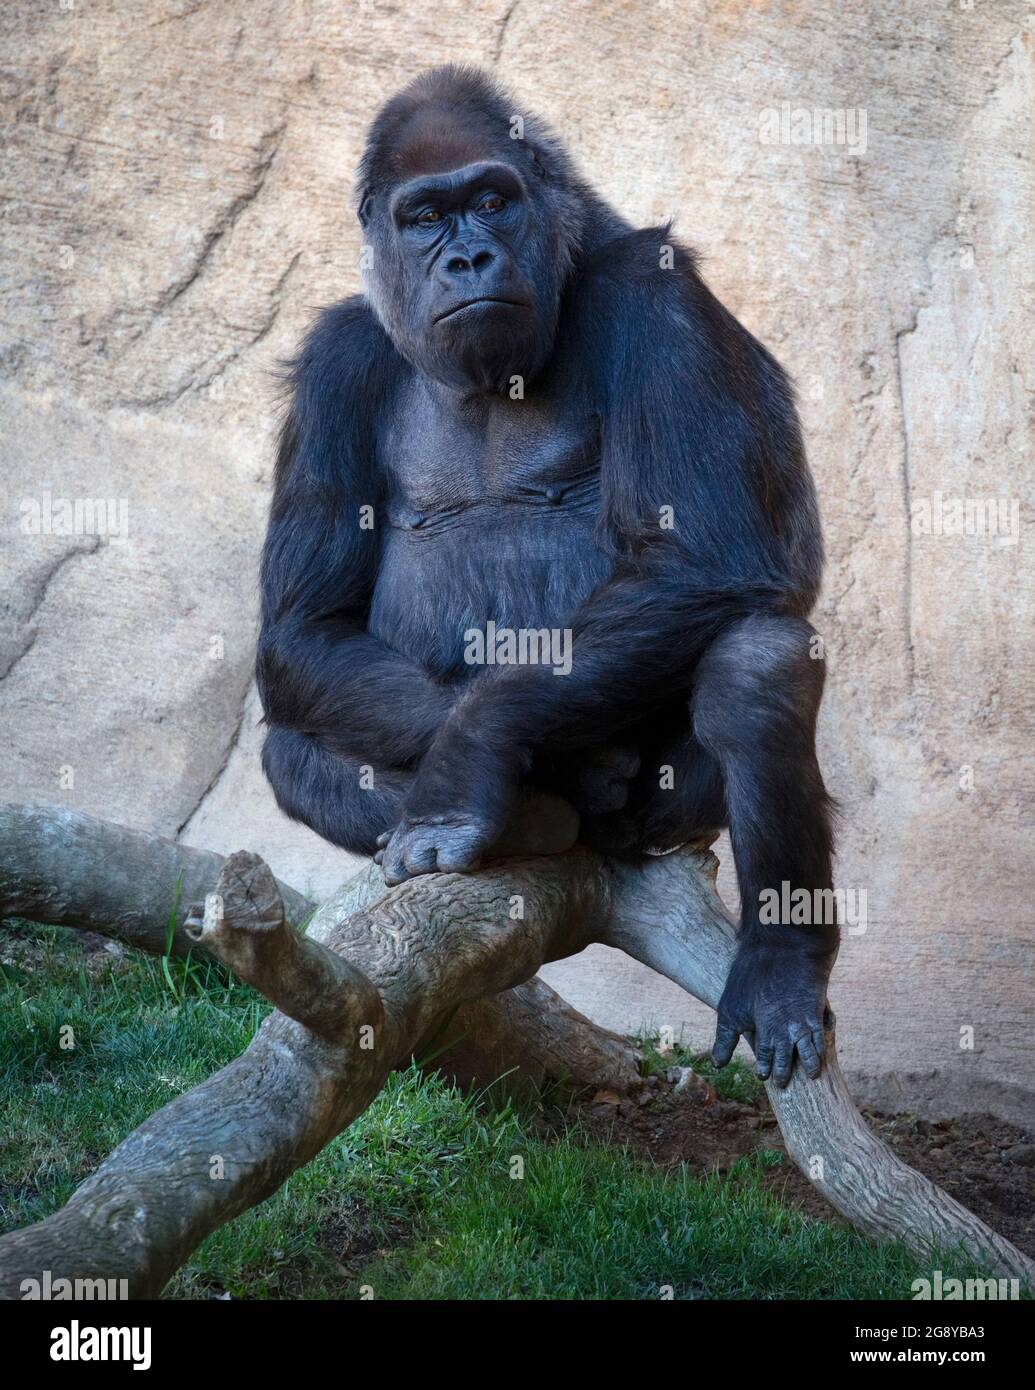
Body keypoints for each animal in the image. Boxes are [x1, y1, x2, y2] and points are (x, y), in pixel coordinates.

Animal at [258, 65, 839, 1084]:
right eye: (424, 218)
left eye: (493, 200)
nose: (467, 259)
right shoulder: (335, 361)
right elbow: (304, 627)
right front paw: (493, 770)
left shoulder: (656, 293)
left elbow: (705, 557)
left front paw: (465, 762)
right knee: (291, 744)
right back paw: (537, 815)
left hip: (670, 816)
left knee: (757, 665)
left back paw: (780, 962)